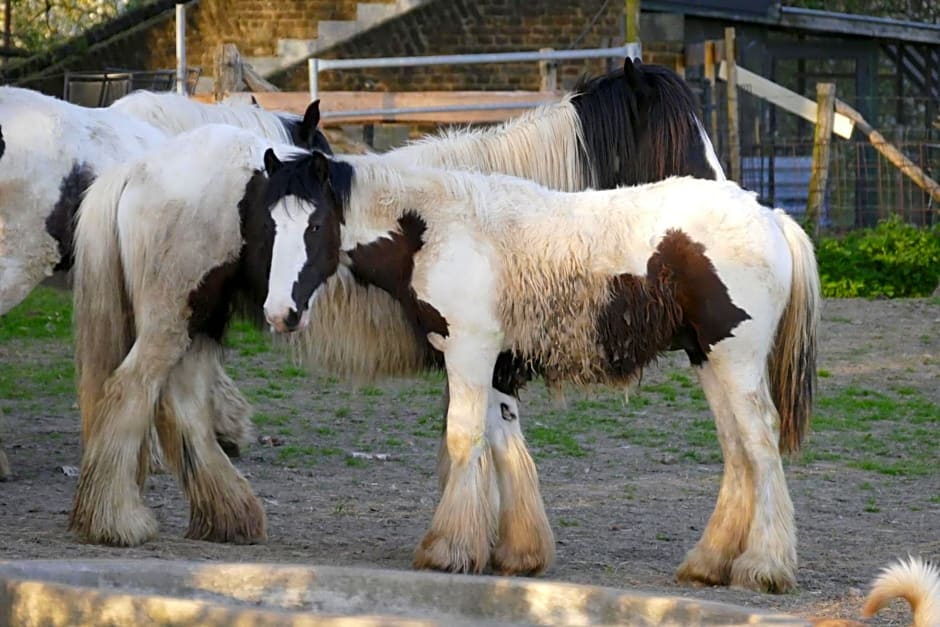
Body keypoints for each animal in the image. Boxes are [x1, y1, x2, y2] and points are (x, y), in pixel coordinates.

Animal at [68, 59, 736, 584]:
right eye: (677, 137)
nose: (724, 200)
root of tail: (136, 169)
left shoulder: (482, 355)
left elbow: (479, 442)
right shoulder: (488, 356)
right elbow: (487, 444)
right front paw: (483, 546)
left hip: (200, 322)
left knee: (180, 405)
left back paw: (228, 516)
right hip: (171, 321)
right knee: (129, 392)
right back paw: (117, 521)